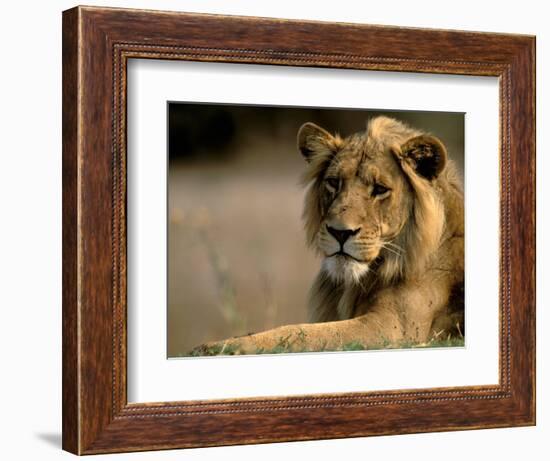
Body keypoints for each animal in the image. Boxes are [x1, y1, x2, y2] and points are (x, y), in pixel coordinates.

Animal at [193, 116, 466, 356]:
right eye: (334, 182)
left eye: (380, 189)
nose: (340, 232)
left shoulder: (395, 328)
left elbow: (301, 334)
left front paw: (218, 347)